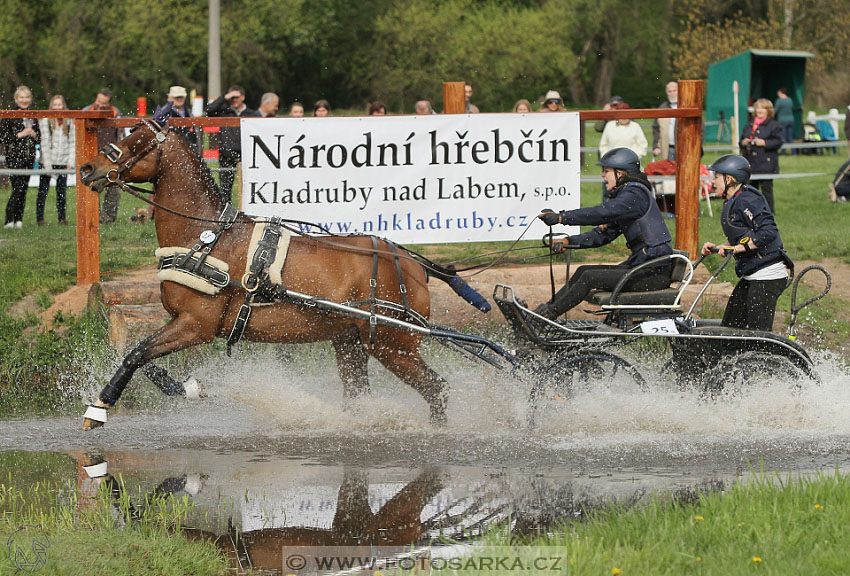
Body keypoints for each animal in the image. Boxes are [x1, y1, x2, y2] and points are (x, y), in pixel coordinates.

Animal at [79, 116, 484, 428]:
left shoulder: (195, 324)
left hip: (391, 344)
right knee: (363, 396)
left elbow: (136, 354)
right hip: (351, 342)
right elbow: (142, 357)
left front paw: (98, 408)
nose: (87, 168)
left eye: (136, 141)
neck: (207, 237)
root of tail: (414, 263)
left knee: (437, 389)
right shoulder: (183, 323)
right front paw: (189, 387)